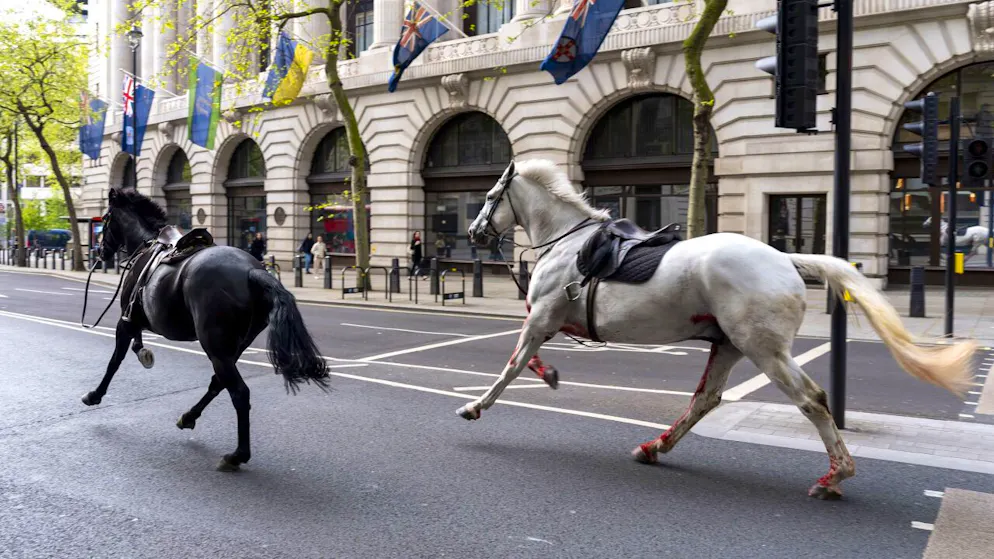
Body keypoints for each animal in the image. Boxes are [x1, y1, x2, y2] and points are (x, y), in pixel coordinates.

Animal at [83, 188, 329, 471]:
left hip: (215, 345)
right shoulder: (135, 320)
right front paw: (143, 353)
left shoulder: (126, 320)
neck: (146, 245)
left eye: (106, 219)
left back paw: (237, 455)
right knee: (218, 383)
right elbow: (135, 344)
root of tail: (252, 271)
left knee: (239, 392)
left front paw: (95, 394)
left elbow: (114, 361)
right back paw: (189, 417)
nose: (99, 251)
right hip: (233, 346)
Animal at [460, 159, 976, 500]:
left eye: (488, 197)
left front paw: (475, 406)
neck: (568, 243)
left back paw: (835, 476)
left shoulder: (541, 317)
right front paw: (547, 375)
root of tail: (787, 259)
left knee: (810, 400)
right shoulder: (547, 320)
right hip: (730, 345)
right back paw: (655, 446)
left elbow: (512, 366)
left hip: (763, 348)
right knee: (706, 400)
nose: (473, 233)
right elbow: (529, 360)